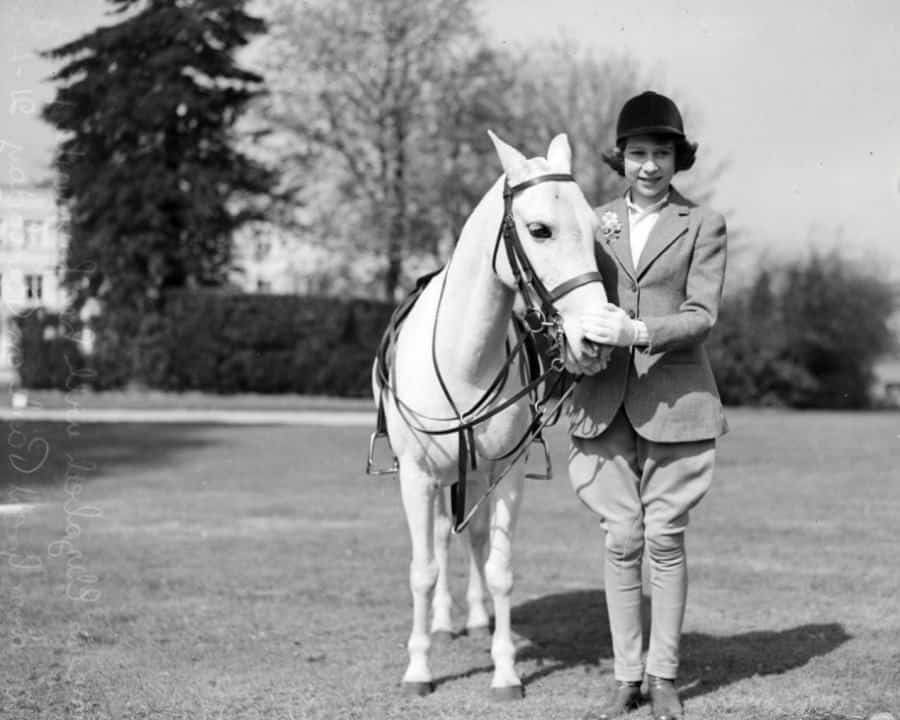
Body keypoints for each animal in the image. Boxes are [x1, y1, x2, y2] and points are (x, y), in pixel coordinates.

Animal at [370, 132, 608, 700]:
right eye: (540, 229)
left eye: (595, 231)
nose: (593, 339)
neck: (464, 362)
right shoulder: (416, 477)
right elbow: (423, 569)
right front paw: (419, 669)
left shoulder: (506, 474)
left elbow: (499, 568)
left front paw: (505, 672)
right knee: (440, 539)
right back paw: (443, 621)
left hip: (475, 476)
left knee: (474, 540)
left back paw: (476, 618)